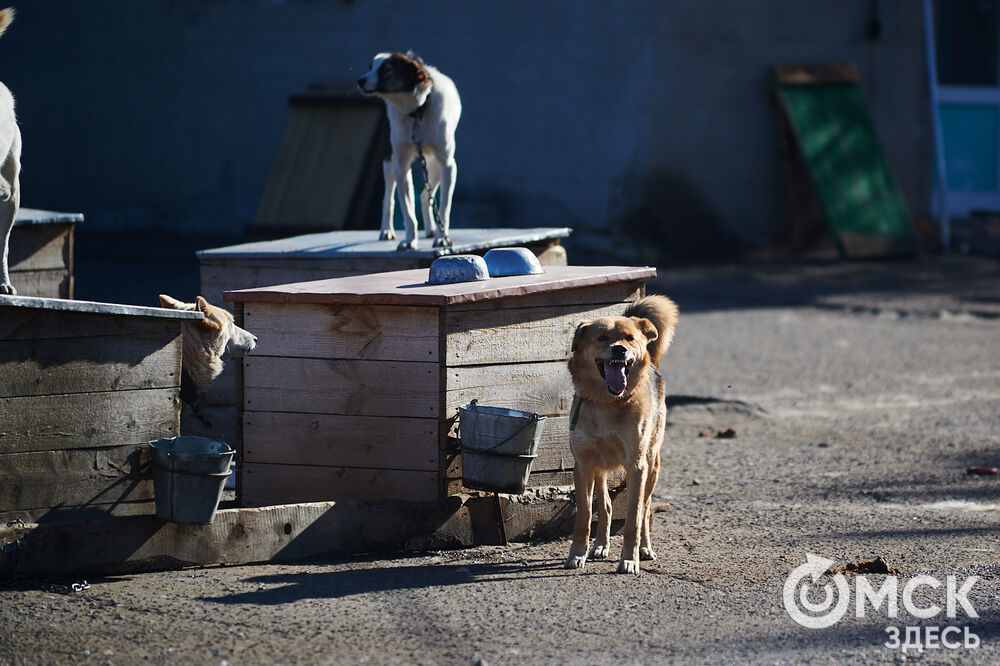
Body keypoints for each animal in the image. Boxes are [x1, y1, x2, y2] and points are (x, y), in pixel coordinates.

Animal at [356, 52, 460, 252]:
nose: (360, 80)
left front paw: (442, 238)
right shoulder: (401, 165)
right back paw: (386, 230)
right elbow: (408, 212)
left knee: (425, 196)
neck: (416, 112)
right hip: (390, 161)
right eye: (371, 66)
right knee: (388, 198)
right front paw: (410, 240)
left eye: (387, 69)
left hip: (435, 166)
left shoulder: (448, 165)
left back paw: (432, 230)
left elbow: (444, 207)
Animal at [568, 294, 676, 572]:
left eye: (629, 338)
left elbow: (633, 518)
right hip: (600, 469)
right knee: (605, 505)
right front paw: (578, 553)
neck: (606, 402)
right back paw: (600, 546)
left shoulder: (637, 466)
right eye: (602, 338)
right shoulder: (583, 464)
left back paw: (645, 548)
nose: (619, 349)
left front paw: (629, 558)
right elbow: (584, 515)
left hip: (652, 464)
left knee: (646, 508)